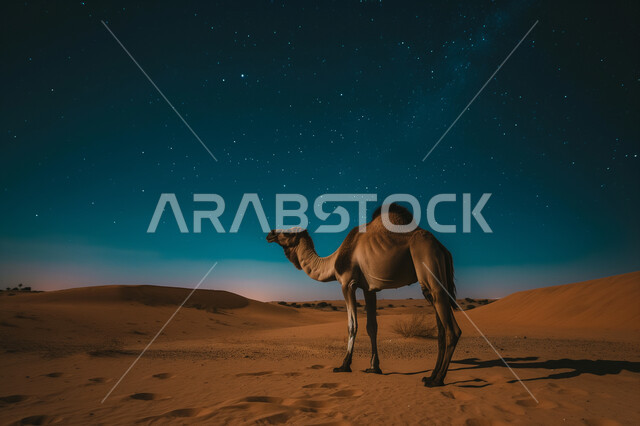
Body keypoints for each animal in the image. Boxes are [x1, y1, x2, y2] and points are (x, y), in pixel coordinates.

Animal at [267, 203, 461, 387]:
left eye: (287, 232)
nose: (270, 234)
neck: (333, 262)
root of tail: (442, 248)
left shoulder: (347, 283)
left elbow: (352, 325)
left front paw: (344, 365)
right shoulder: (369, 289)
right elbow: (371, 327)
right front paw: (374, 367)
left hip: (427, 262)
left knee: (452, 329)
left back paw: (437, 380)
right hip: (435, 275)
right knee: (441, 327)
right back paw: (431, 376)